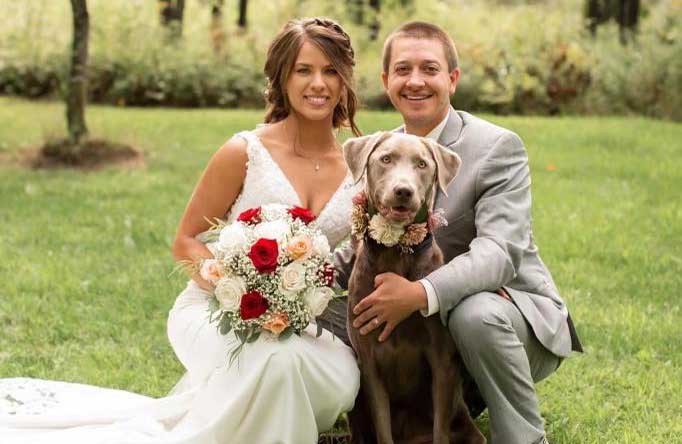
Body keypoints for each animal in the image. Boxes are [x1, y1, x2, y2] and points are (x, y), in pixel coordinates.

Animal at [340, 132, 484, 444]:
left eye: (421, 164)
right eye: (385, 159)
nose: (403, 191)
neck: (395, 252)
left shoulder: (442, 360)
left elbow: (441, 430)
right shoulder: (369, 363)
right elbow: (383, 429)